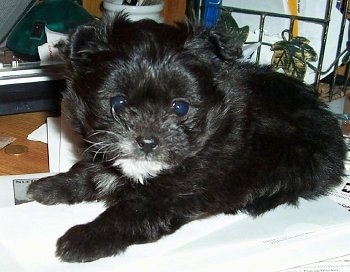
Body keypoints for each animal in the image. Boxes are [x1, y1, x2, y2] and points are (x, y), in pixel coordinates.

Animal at [27, 13, 348, 262]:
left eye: (180, 107)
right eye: (117, 103)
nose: (147, 142)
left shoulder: (171, 195)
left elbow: (127, 214)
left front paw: (82, 239)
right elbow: (90, 172)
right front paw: (49, 186)